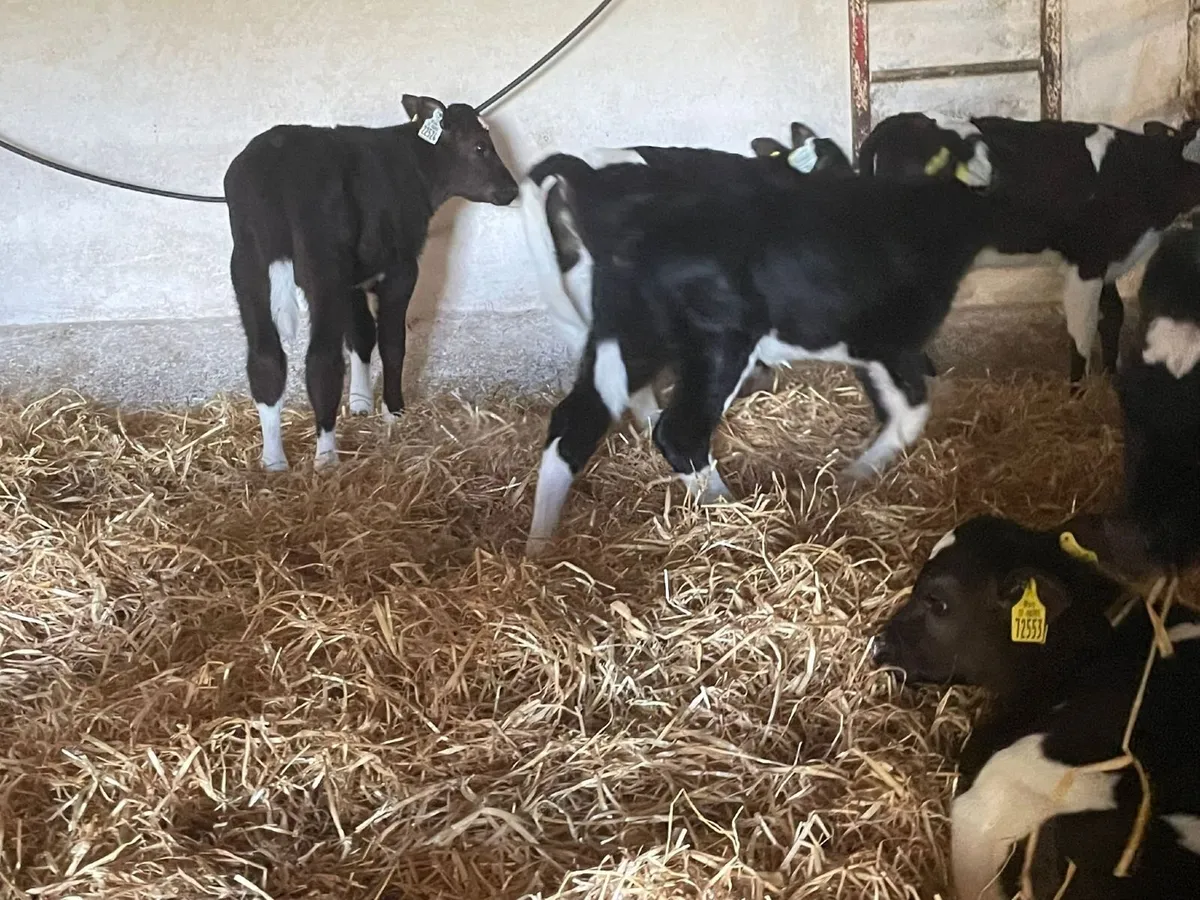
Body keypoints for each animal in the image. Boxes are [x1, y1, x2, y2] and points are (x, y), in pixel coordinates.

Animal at [223, 94, 519, 472]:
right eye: (481, 147)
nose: (511, 189)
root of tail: (272, 160)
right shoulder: (400, 270)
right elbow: (392, 342)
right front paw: (393, 411)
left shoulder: (354, 279)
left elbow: (361, 335)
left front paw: (361, 404)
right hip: (324, 268)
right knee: (321, 361)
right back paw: (327, 457)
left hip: (248, 269)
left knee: (265, 359)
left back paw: (274, 461)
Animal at [523, 173, 1053, 556]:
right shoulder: (888, 338)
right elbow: (911, 413)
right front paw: (852, 477)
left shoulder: (869, 347)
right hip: (720, 340)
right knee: (680, 431)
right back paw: (732, 514)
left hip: (630, 337)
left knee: (574, 422)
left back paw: (539, 550)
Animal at [857, 112, 1200, 385]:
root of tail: (900, 123)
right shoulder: (1086, 262)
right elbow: (1083, 331)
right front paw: (1076, 393)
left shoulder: (1108, 259)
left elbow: (1113, 315)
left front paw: (1111, 376)